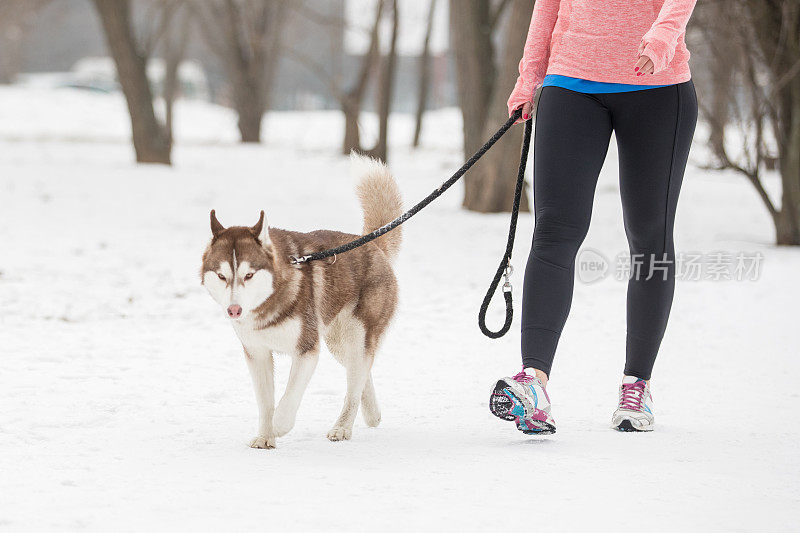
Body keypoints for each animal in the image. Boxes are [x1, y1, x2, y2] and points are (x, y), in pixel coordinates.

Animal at [198, 155, 400, 448]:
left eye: (248, 275)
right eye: (222, 276)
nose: (233, 310)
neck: (268, 303)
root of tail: (371, 245)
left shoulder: (306, 350)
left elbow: (288, 398)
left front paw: (278, 425)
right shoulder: (256, 352)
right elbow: (265, 401)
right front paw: (265, 436)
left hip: (357, 332)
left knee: (356, 379)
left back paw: (342, 428)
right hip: (338, 341)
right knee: (362, 371)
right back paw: (372, 414)